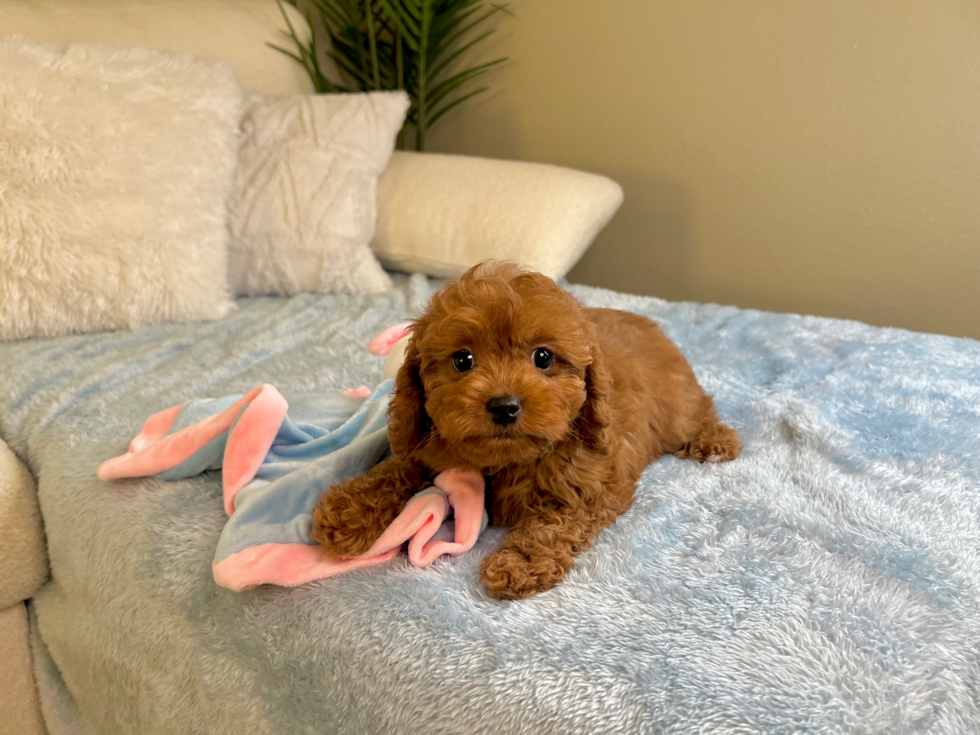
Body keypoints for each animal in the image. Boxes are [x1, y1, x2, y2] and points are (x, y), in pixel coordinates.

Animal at [310, 262, 740, 600]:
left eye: (543, 357)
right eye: (462, 360)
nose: (504, 405)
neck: (508, 459)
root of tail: (652, 325)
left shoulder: (593, 484)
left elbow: (550, 526)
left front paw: (518, 564)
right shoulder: (429, 444)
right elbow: (397, 468)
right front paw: (349, 510)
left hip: (676, 405)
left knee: (699, 408)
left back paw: (714, 441)